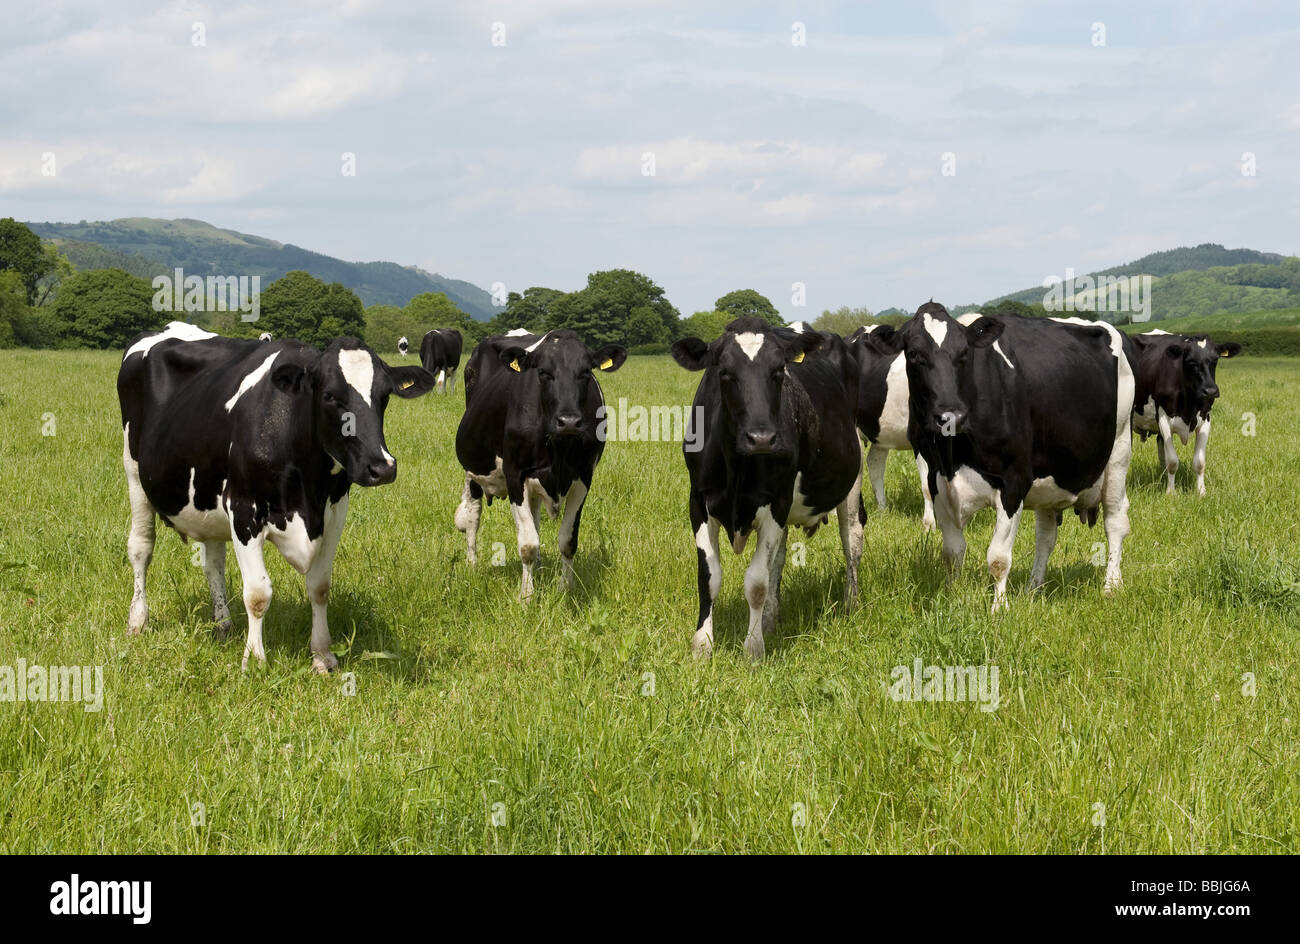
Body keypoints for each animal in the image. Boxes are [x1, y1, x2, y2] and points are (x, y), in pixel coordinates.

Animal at [118, 321, 435, 672]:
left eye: (384, 396)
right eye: (330, 396)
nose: (382, 467)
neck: (309, 487)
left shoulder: (335, 512)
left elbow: (320, 587)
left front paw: (322, 656)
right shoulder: (243, 511)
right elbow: (258, 593)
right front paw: (255, 661)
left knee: (213, 563)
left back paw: (223, 626)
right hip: (134, 474)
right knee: (141, 548)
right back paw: (138, 621)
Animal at [453, 329, 626, 600]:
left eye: (586, 372)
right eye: (543, 372)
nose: (569, 421)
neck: (559, 449)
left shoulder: (583, 477)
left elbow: (567, 541)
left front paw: (566, 590)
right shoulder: (516, 475)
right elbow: (527, 545)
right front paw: (526, 596)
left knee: (533, 520)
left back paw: (541, 567)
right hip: (474, 468)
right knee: (472, 515)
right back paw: (472, 566)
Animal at [671, 317, 864, 661]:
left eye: (778, 372)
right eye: (724, 372)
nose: (761, 438)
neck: (736, 468)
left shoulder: (776, 503)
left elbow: (757, 582)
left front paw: (753, 648)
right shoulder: (698, 502)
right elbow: (709, 577)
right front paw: (703, 645)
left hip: (852, 479)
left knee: (852, 540)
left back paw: (850, 605)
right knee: (781, 557)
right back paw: (771, 620)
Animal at [859, 303, 1133, 612]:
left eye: (964, 354)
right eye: (914, 354)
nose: (951, 415)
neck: (954, 455)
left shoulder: (1014, 482)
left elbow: (999, 558)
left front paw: (999, 608)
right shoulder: (935, 480)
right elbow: (952, 552)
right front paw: (953, 598)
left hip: (1119, 450)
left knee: (1115, 520)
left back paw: (1111, 585)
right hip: (1050, 477)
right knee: (1046, 537)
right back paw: (1033, 588)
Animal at [1127, 329, 1241, 495]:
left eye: (1215, 360)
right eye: (1191, 362)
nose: (1211, 391)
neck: (1189, 405)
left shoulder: (1205, 419)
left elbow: (1199, 462)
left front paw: (1201, 492)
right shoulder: (1163, 418)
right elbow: (1173, 461)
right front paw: (1171, 492)